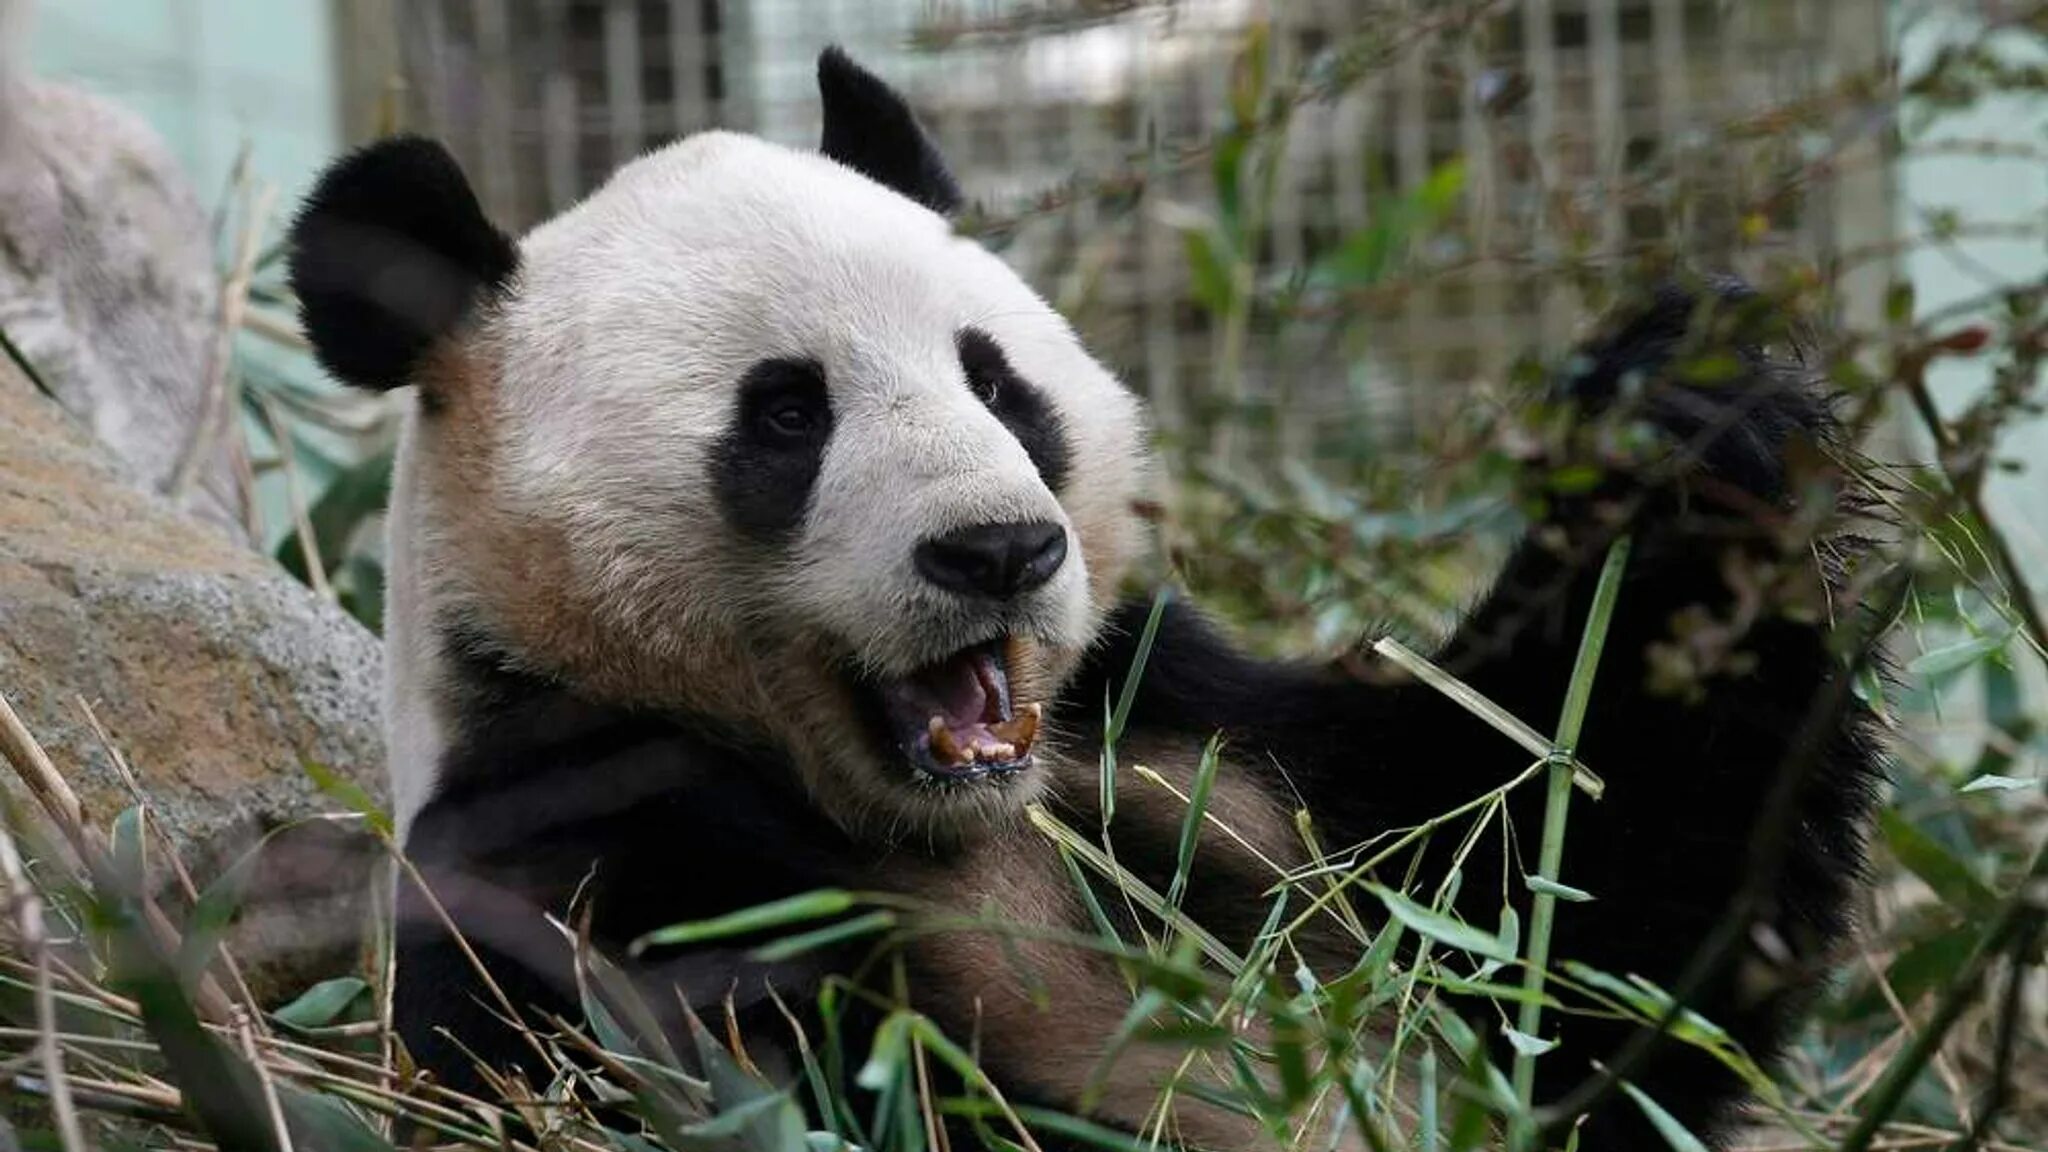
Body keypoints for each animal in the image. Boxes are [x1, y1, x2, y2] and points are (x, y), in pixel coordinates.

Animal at [288, 44, 1884, 1147]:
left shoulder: (1181, 731)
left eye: (997, 382)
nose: (997, 550)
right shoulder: (575, 837)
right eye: (786, 416)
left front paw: (1692, 412)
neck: (932, 814)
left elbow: (1559, 916)